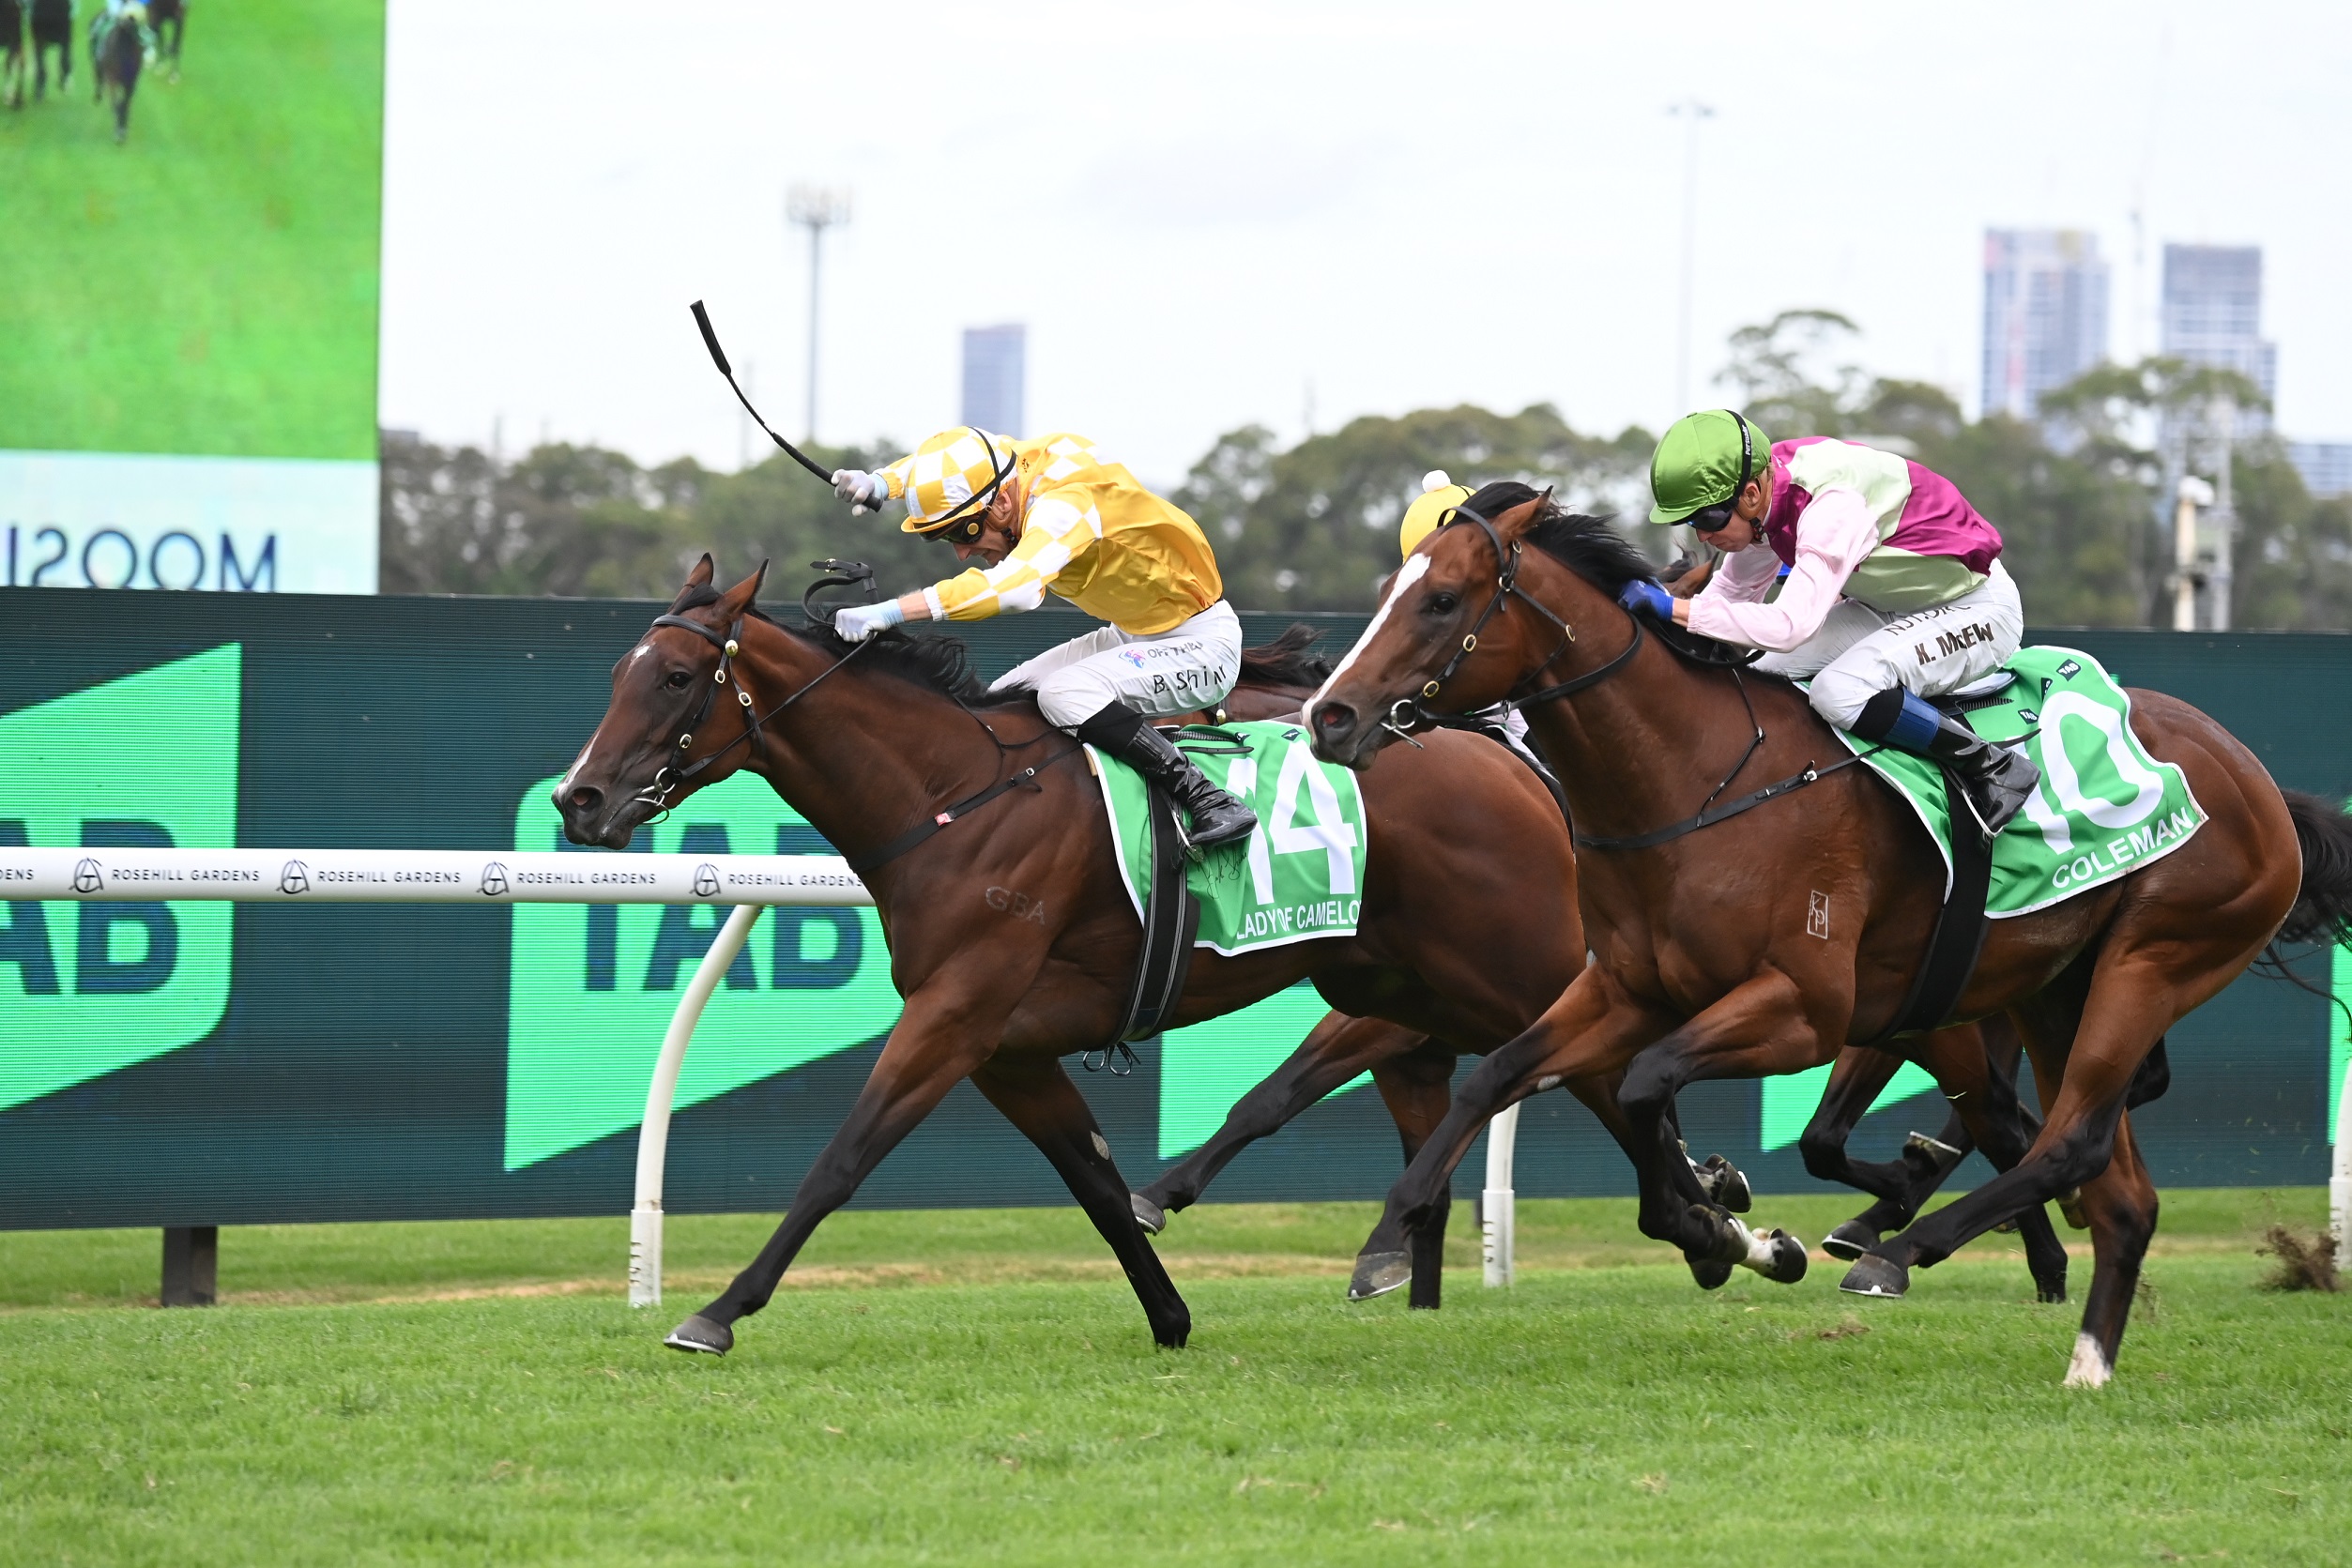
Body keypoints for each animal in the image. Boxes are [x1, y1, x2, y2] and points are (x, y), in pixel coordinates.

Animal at [556, 558, 1688, 1355]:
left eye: (673, 676)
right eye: (612, 673)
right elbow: (1096, 1185)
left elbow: (842, 1160)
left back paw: (1702, 1210)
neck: (950, 794)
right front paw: (1171, 1317)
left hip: (1511, 965)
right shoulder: (1010, 1049)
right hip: (1405, 983)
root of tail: (1502, 754)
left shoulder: (954, 1017)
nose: (578, 798)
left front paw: (717, 1309)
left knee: (1596, 1065)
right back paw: (1692, 1213)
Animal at [1306, 486, 2352, 1386]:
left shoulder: (1805, 1010)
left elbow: (1647, 1085)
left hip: (2151, 960)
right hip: (2057, 989)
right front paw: (1393, 1234)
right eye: (1389, 591)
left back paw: (1904, 1245)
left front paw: (1730, 1227)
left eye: (1442, 599)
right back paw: (2083, 1361)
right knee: (2113, 1186)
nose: (1330, 715)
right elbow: (1498, 1073)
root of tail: (2254, 775)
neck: (1695, 781)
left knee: (2068, 1144)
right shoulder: (1627, 989)